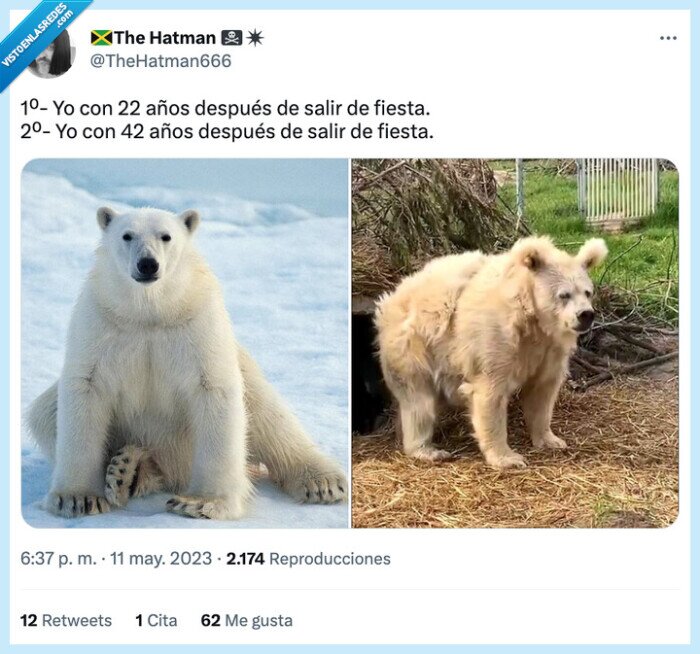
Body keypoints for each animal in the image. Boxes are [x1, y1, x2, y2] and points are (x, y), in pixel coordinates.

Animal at [26, 206, 347, 520]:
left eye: (166, 236)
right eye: (127, 235)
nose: (148, 264)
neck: (150, 313)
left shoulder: (197, 323)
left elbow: (214, 391)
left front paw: (200, 503)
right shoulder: (101, 323)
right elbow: (86, 389)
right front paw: (77, 499)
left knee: (269, 416)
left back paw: (323, 482)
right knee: (44, 412)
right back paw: (127, 470)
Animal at [374, 235, 608, 469]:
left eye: (588, 292)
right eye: (564, 294)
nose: (586, 314)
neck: (531, 320)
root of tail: (390, 299)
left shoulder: (549, 349)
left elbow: (542, 390)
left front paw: (551, 440)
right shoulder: (495, 339)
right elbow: (490, 393)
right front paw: (508, 458)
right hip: (414, 346)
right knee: (419, 401)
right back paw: (428, 450)